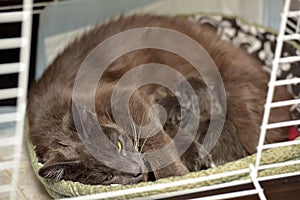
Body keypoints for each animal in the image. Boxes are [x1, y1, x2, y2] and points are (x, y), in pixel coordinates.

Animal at [27, 14, 290, 185]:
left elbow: (156, 144)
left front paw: (174, 178)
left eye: (118, 145)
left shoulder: (122, 95)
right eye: (107, 176)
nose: (135, 172)